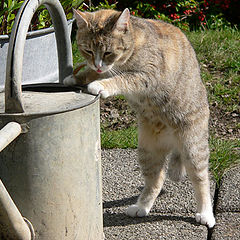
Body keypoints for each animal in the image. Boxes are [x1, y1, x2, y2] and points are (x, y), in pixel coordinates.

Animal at [63, 7, 216, 229]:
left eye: (108, 52)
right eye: (88, 51)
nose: (99, 64)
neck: (133, 47)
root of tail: (174, 144)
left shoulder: (146, 76)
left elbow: (121, 79)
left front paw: (100, 84)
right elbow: (91, 72)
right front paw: (76, 77)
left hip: (192, 147)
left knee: (201, 179)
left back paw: (205, 213)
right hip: (147, 150)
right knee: (156, 180)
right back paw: (142, 207)